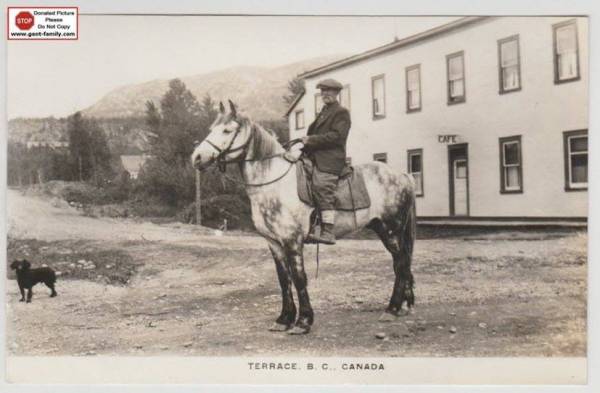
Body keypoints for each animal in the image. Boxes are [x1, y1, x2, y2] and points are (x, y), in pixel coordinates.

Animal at [192, 101, 418, 334]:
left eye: (227, 130)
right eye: (212, 129)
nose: (196, 158)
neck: (275, 183)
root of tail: (403, 176)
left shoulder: (292, 240)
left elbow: (299, 278)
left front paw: (303, 321)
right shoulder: (274, 243)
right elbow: (284, 279)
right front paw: (284, 319)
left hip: (392, 229)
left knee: (401, 263)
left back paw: (392, 308)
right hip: (382, 229)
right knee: (400, 264)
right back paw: (402, 305)